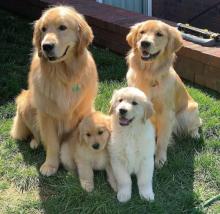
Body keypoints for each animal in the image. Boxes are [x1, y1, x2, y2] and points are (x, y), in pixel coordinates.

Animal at [10, 5, 98, 176]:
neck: (63, 75)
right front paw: (50, 165)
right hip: (25, 103)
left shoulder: (81, 115)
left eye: (62, 27)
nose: (46, 46)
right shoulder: (46, 115)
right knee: (36, 134)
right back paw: (35, 143)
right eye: (43, 29)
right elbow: (51, 143)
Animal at [126, 20, 202, 168]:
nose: (144, 43)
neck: (149, 74)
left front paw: (160, 159)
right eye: (142, 32)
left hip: (188, 112)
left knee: (196, 124)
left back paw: (195, 135)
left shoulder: (166, 114)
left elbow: (162, 140)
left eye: (159, 34)